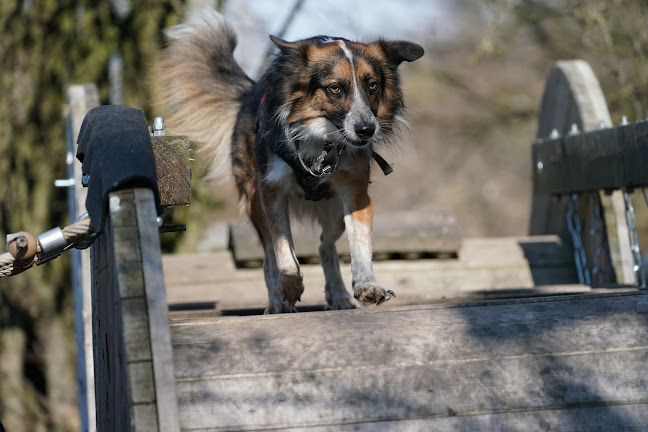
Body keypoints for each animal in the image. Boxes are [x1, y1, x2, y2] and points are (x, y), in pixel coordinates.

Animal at [160, 9, 426, 314]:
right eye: (335, 88)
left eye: (372, 85)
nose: (366, 130)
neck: (320, 139)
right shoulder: (271, 192)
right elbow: (284, 254)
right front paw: (289, 288)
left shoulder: (355, 192)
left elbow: (360, 245)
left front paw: (367, 285)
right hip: (255, 204)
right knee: (268, 259)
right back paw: (277, 302)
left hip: (334, 211)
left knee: (325, 247)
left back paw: (338, 296)